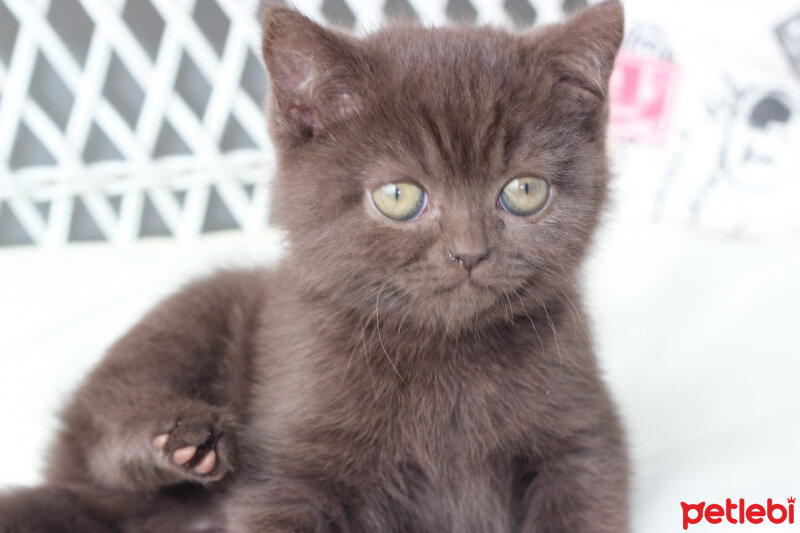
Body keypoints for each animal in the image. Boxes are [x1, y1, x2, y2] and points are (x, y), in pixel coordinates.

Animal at [0, 2, 624, 528]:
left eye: (524, 190)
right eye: (398, 196)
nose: (469, 253)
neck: (446, 353)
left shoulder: (582, 439)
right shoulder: (292, 461)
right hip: (191, 316)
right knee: (99, 440)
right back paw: (182, 439)